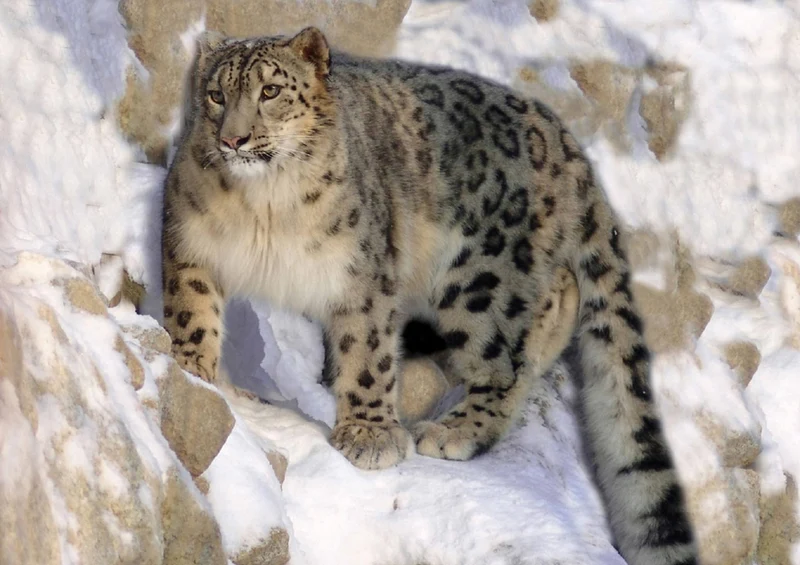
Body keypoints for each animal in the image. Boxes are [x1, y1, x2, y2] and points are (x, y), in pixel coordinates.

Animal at [160, 27, 698, 565]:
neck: (263, 207)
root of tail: (567, 143)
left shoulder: (364, 272)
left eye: (270, 91)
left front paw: (370, 434)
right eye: (216, 94)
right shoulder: (191, 243)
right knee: (556, 299)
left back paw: (454, 430)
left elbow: (368, 353)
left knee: (508, 355)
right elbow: (192, 311)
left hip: (482, 281)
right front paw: (194, 369)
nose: (232, 138)